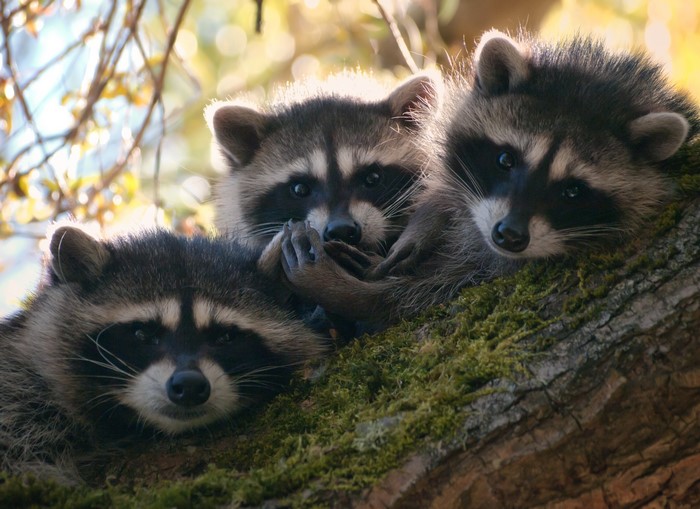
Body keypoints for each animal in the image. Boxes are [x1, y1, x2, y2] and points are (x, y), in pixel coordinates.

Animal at [271, 31, 699, 327]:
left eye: (573, 190)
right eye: (505, 159)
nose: (508, 235)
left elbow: (422, 295)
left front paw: (353, 294)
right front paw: (429, 217)